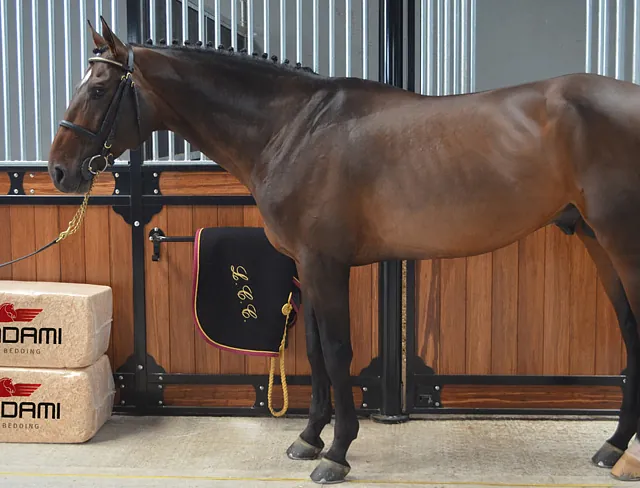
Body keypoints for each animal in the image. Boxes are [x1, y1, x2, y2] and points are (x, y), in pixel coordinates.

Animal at [47, 16, 640, 484]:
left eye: (98, 89)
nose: (59, 171)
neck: (293, 129)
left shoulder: (324, 264)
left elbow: (336, 352)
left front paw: (336, 452)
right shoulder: (306, 267)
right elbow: (313, 353)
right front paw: (309, 437)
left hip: (621, 242)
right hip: (599, 242)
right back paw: (613, 445)